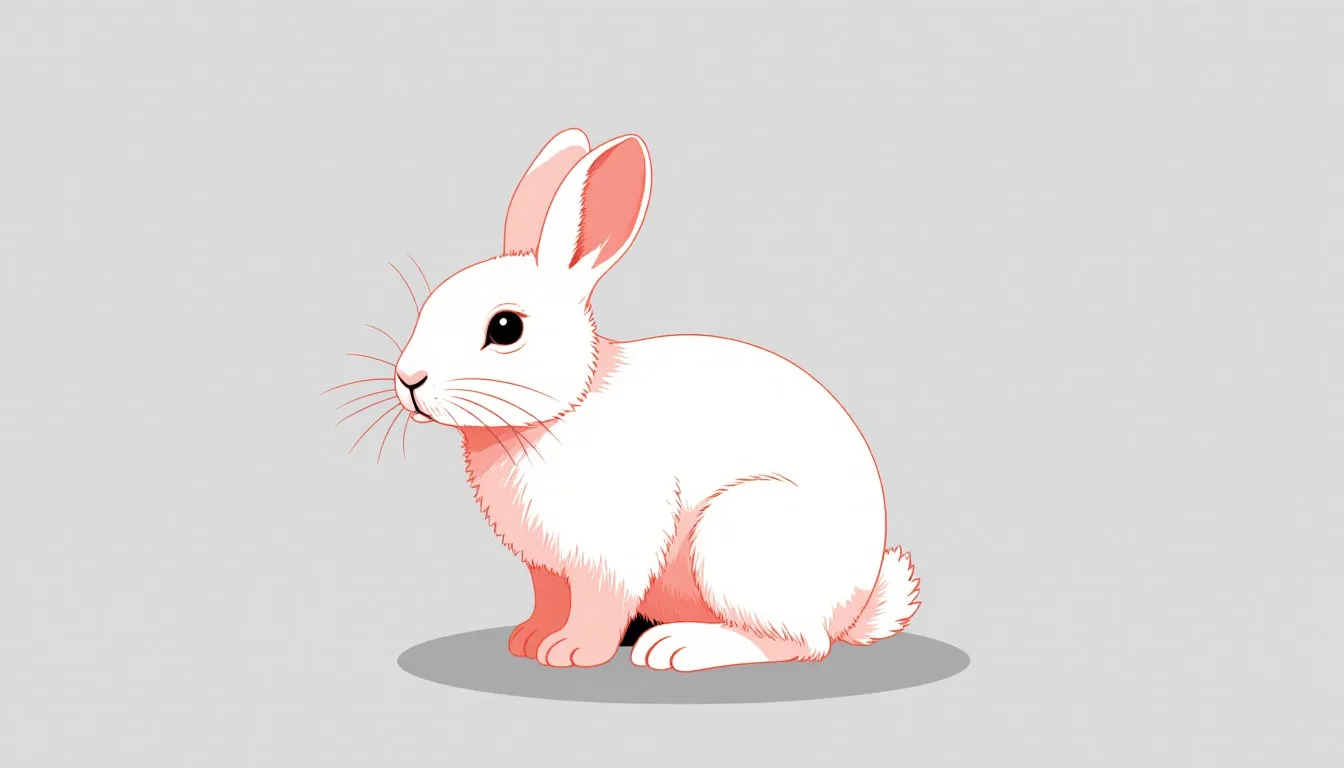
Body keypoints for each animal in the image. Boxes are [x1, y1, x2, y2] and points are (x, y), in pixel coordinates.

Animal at [390, 128, 920, 671]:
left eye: (505, 327)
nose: (409, 379)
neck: (561, 411)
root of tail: (853, 609)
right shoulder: (547, 566)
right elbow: (551, 599)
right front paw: (529, 640)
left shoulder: (611, 550)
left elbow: (601, 603)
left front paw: (571, 651)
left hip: (739, 537)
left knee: (800, 644)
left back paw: (677, 648)